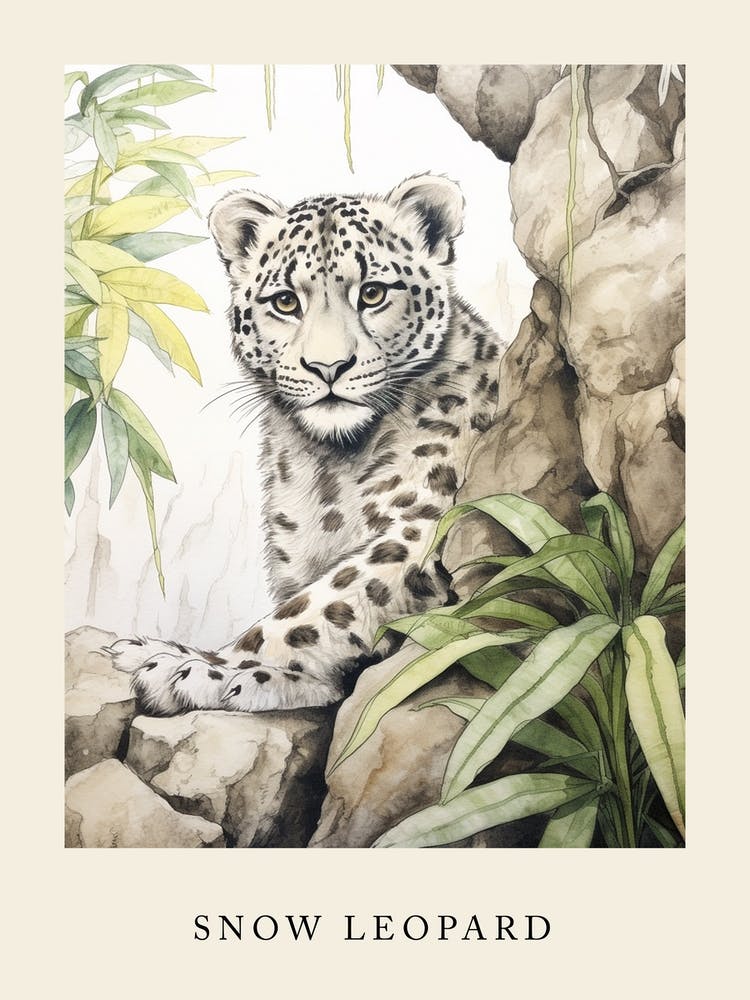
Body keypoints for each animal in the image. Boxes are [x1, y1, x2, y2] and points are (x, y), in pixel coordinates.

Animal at [107, 173, 508, 714]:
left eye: (373, 293)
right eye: (285, 301)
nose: (327, 366)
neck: (331, 466)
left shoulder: (421, 527)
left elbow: (314, 612)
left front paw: (196, 667)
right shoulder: (295, 560)